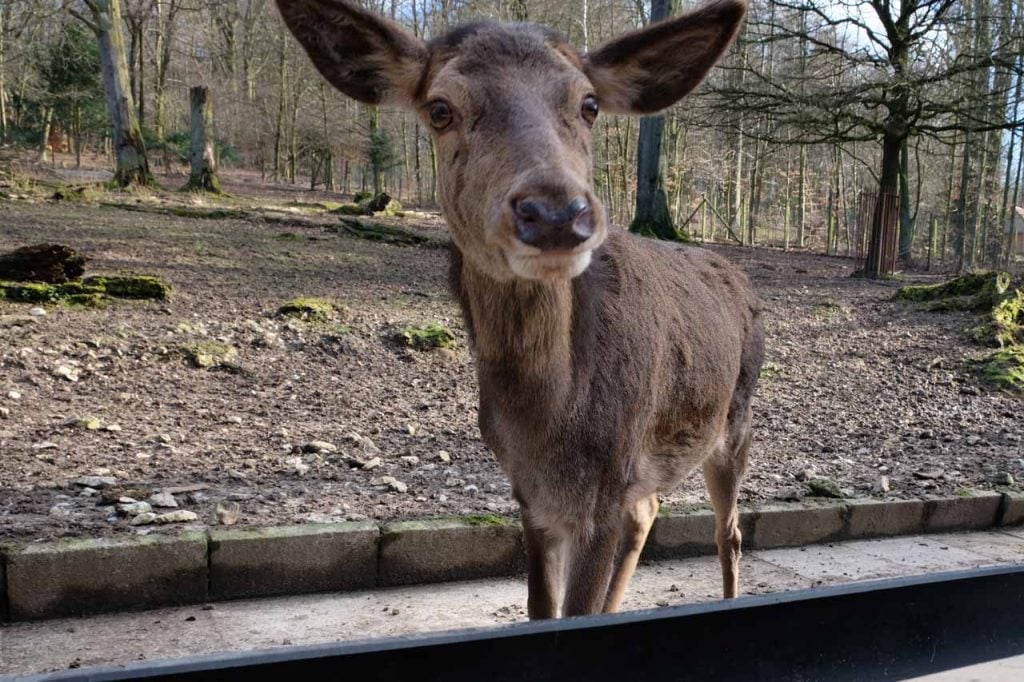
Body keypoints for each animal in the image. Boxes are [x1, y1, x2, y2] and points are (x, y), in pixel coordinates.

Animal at [276, 0, 765, 614]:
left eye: (589, 104)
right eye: (440, 109)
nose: (555, 212)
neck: (550, 421)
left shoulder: (604, 489)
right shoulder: (530, 496)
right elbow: (540, 607)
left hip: (734, 423)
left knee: (731, 531)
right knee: (650, 509)